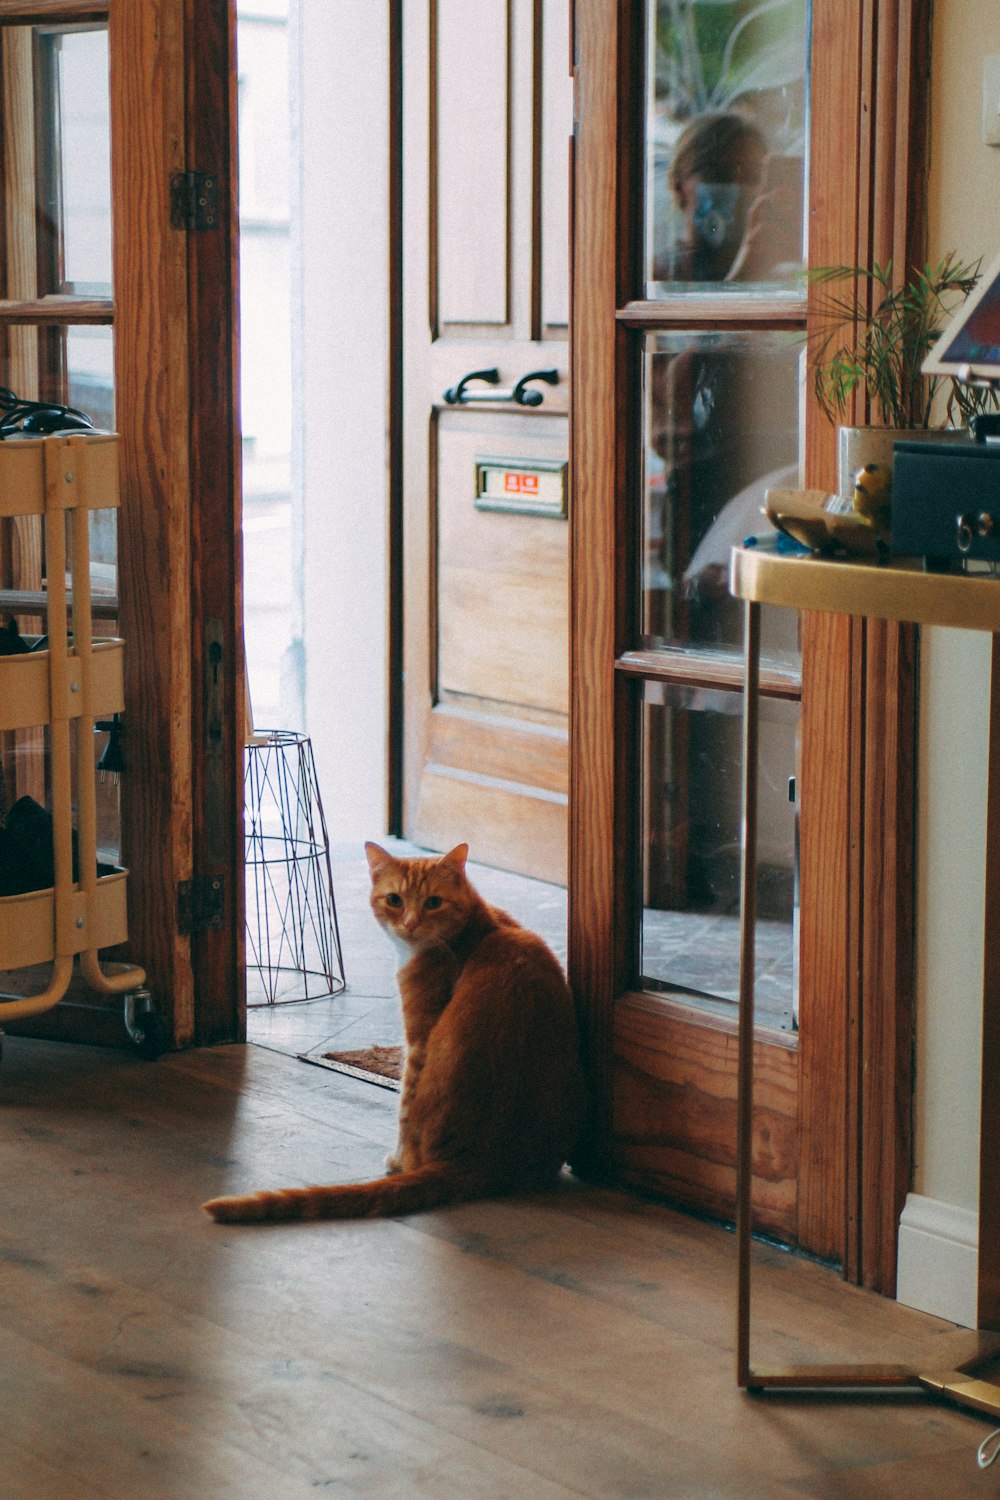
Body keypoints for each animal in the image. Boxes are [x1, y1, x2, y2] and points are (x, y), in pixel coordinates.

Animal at [203, 840, 587, 1224]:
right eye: (394, 900)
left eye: (433, 902)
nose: (410, 923)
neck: (479, 928)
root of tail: (478, 1160)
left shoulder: (418, 1039)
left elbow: (404, 1103)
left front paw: (398, 1158)